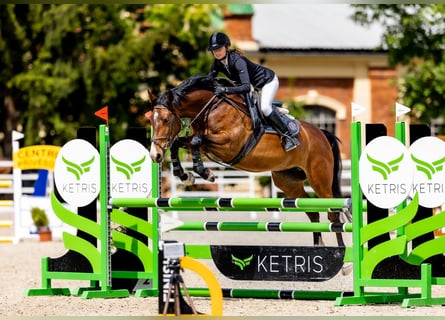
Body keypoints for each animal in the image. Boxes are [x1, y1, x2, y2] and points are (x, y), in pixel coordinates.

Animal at [147, 74, 346, 248]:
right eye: (150, 120)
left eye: (166, 119)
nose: (155, 155)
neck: (211, 108)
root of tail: (322, 134)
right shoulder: (205, 143)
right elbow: (179, 143)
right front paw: (185, 175)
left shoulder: (229, 144)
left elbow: (196, 141)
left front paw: (205, 173)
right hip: (288, 182)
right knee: (313, 212)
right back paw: (318, 247)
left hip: (319, 180)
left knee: (334, 214)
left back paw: (342, 255)